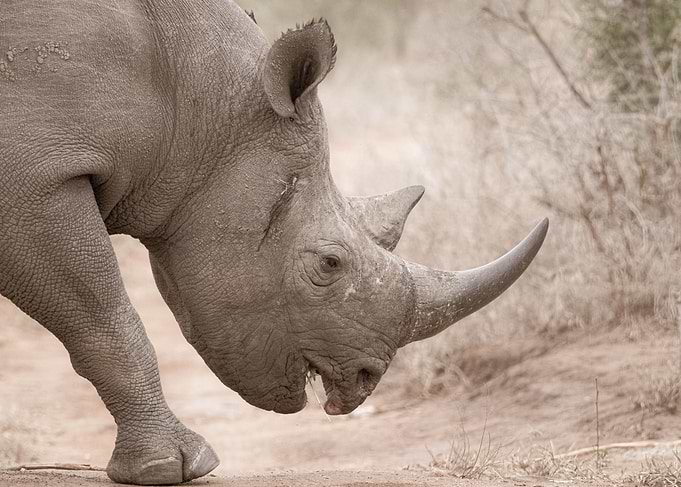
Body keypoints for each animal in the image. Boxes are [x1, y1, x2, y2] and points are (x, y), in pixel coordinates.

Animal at [0, 0, 548, 485]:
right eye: (329, 263)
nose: (366, 380)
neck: (193, 101)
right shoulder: (32, 180)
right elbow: (105, 320)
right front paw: (175, 468)